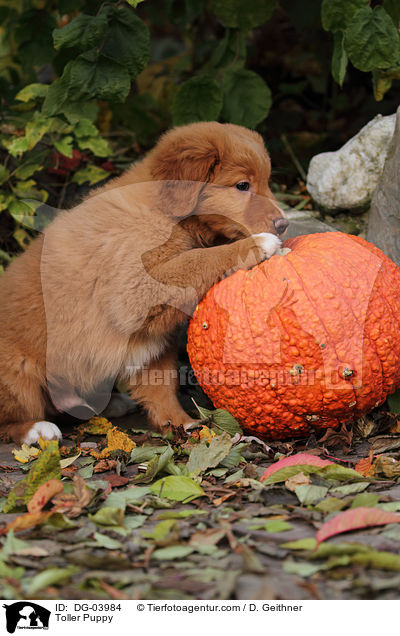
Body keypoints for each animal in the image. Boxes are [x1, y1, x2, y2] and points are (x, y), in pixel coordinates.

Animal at [0, 121, 288, 444]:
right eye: (242, 186)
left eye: (267, 181)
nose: (283, 224)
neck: (165, 211)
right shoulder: (139, 289)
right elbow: (200, 258)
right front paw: (259, 244)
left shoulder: (154, 336)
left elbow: (161, 384)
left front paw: (181, 423)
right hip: (17, 375)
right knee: (11, 418)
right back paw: (36, 429)